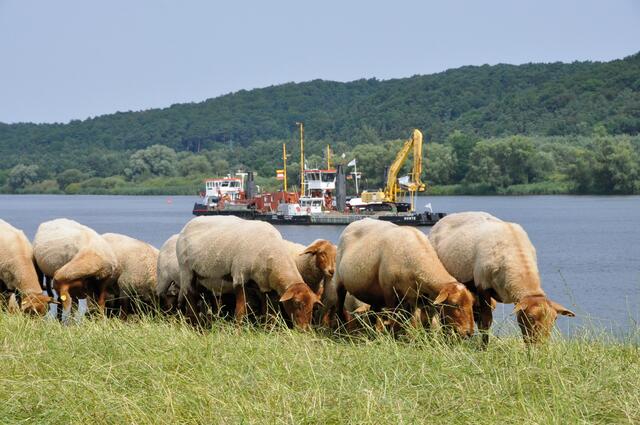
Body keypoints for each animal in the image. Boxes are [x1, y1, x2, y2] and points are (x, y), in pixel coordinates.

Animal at [176, 216, 321, 329]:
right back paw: (195, 326)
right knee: (190, 299)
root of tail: (189, 224)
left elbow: (269, 313)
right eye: (297, 303)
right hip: (186, 271)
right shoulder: (239, 277)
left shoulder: (265, 286)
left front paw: (268, 330)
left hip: (209, 278)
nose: (304, 330)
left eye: (313, 307)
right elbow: (240, 312)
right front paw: (238, 332)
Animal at [327, 218, 475, 337]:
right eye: (455, 304)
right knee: (339, 306)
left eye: (471, 304)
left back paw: (373, 334)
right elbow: (394, 319)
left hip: (374, 293)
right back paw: (340, 331)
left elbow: (421, 322)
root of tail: (355, 222)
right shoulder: (389, 292)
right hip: (339, 281)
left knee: (373, 313)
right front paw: (395, 337)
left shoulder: (418, 297)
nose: (469, 333)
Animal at [429, 211, 575, 344]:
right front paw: (484, 348)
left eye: (554, 319)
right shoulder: (482, 286)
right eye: (531, 317)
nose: (540, 347)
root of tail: (445, 217)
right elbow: (485, 322)